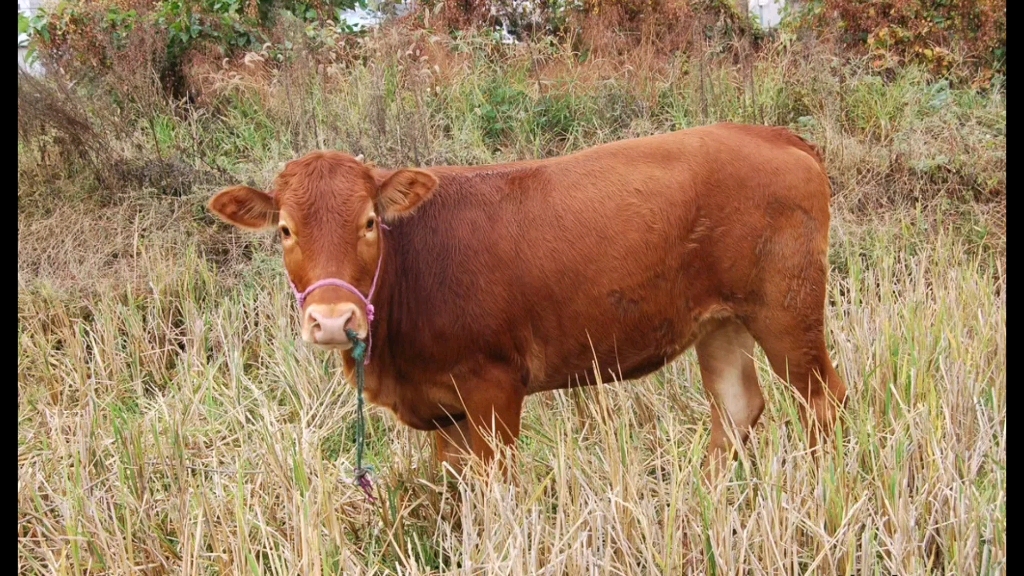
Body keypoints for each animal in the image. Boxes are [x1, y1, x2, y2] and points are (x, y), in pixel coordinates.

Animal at [205, 121, 847, 475]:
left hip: (786, 311)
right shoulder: (443, 408)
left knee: (823, 402)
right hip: (721, 321)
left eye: (368, 222)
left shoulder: (494, 387)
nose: (334, 320)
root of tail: (771, 134)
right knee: (736, 407)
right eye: (284, 230)